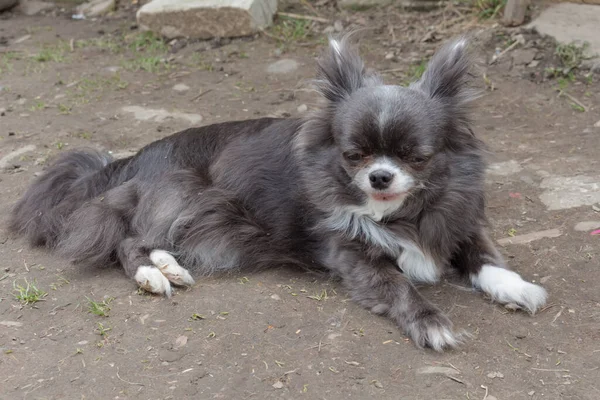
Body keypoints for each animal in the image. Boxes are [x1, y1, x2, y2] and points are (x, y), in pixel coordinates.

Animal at [9, 36, 548, 352]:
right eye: (354, 155)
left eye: (415, 157)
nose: (380, 176)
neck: (400, 214)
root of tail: (130, 158)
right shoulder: (355, 256)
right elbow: (399, 286)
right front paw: (431, 323)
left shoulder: (458, 224)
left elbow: (485, 258)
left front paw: (516, 287)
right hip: (185, 194)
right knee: (126, 239)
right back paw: (153, 274)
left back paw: (170, 266)